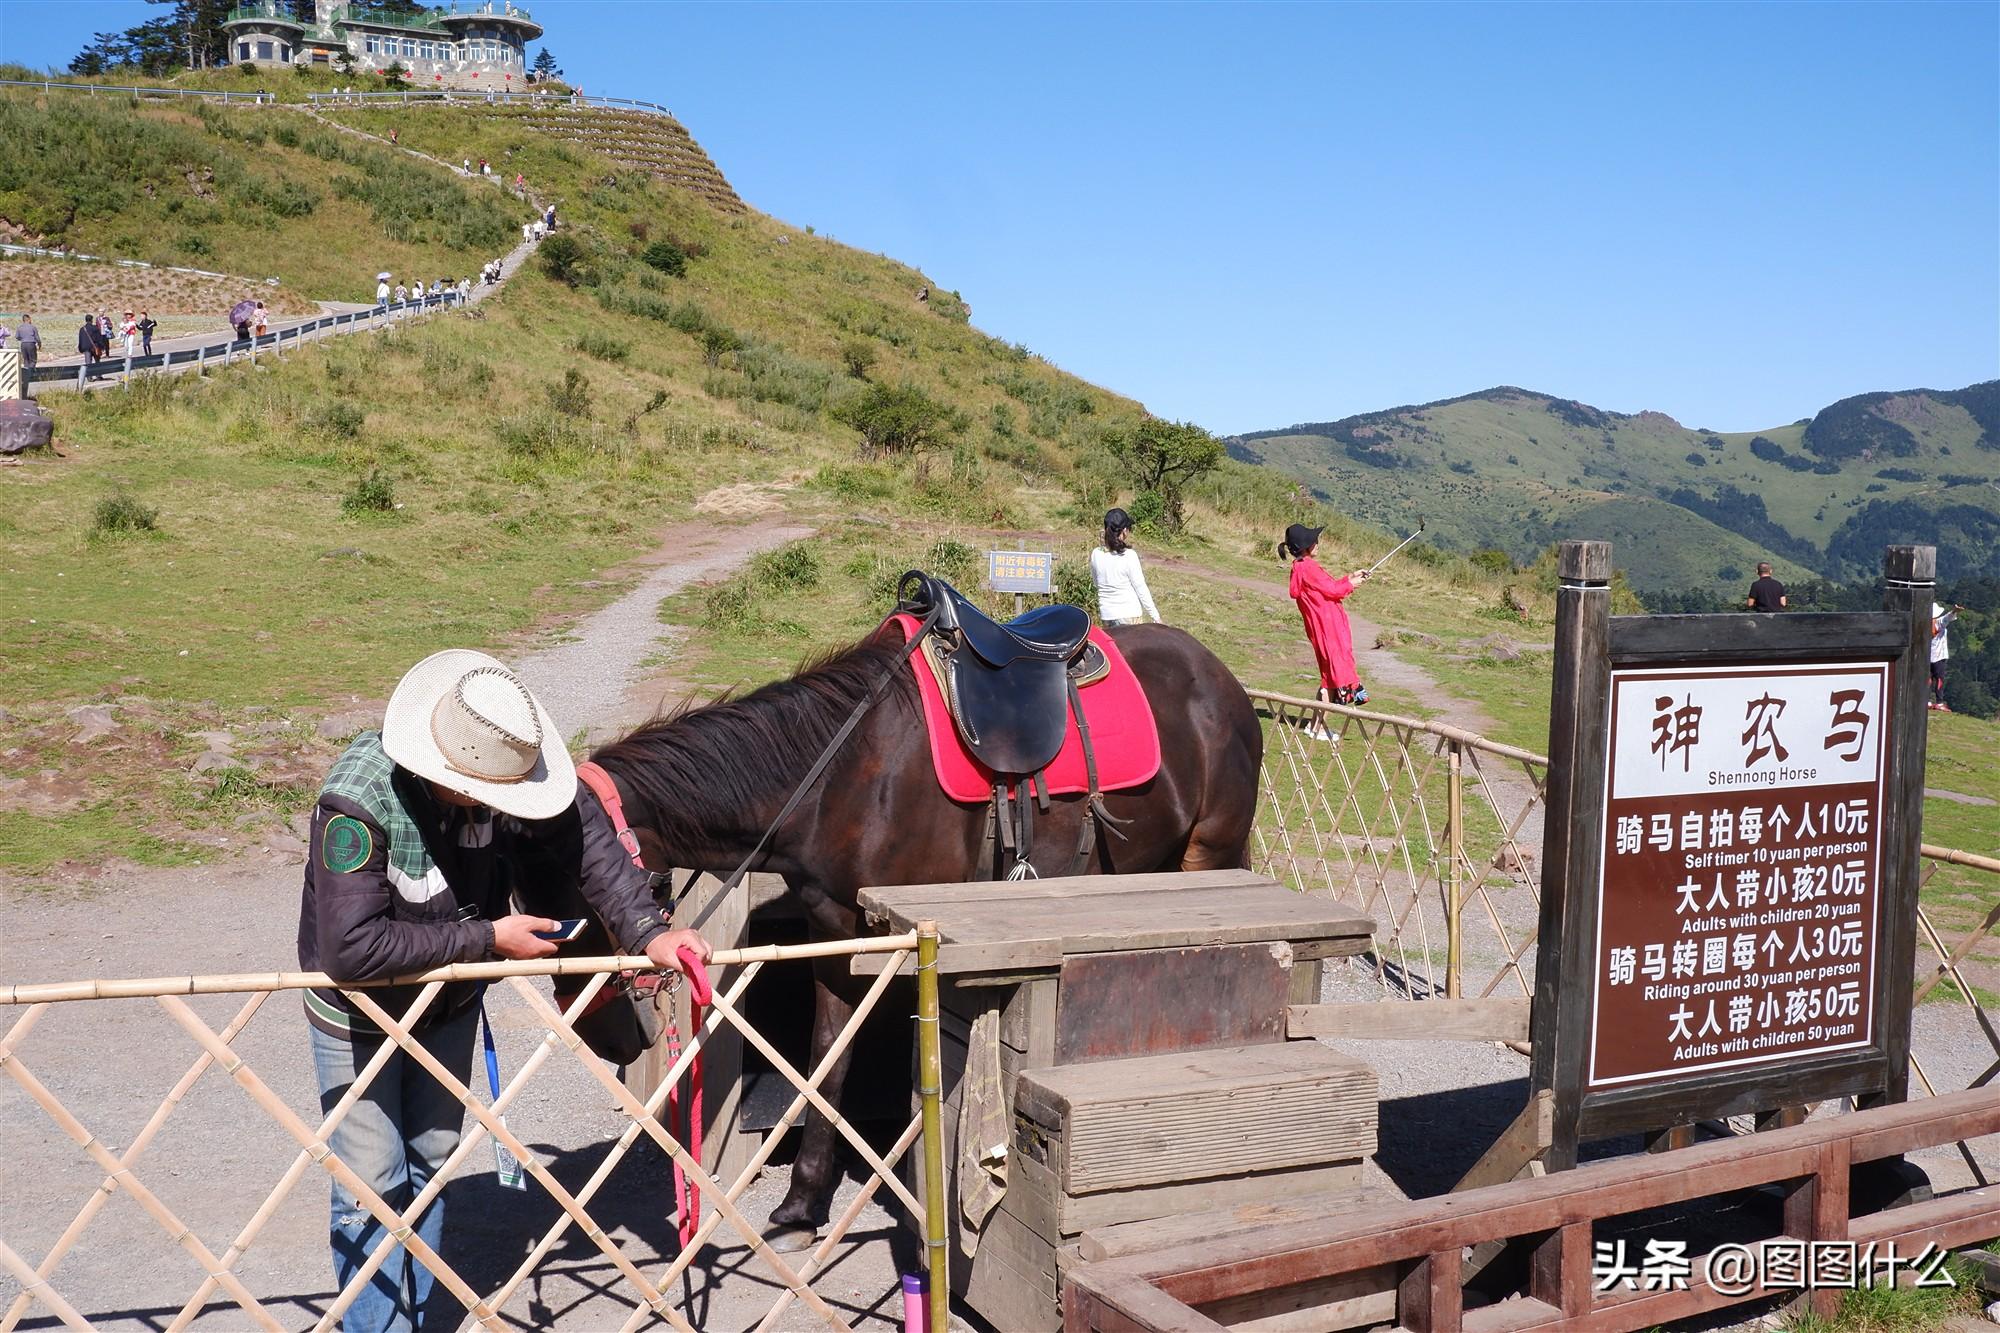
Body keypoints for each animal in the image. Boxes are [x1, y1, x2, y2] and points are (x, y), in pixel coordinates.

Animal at [584, 616, 1256, 1240]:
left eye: (580, 891)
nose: (607, 1040)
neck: (838, 778)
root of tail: (1218, 676)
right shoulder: (836, 938)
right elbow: (828, 1060)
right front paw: (804, 1203)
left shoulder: (912, 947)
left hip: (1210, 856)